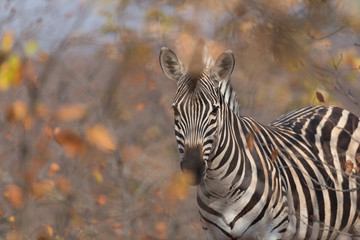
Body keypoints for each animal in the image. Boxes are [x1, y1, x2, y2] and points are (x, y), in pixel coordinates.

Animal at [160, 44, 360, 239]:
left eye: (214, 111)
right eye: (175, 110)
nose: (192, 167)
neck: (222, 190)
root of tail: (335, 108)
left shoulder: (271, 232)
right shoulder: (213, 234)